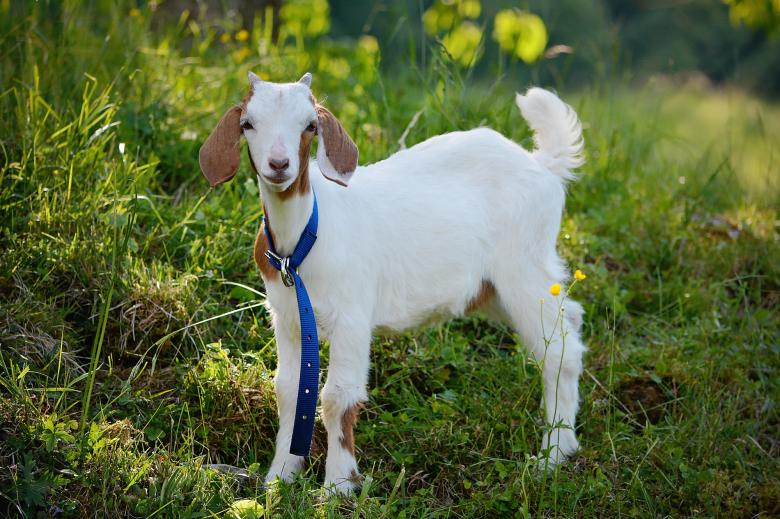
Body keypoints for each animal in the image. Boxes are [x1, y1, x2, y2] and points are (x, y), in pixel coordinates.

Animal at [199, 71, 587, 495]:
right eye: (247, 124)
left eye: (311, 126)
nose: (279, 164)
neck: (301, 239)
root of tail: (542, 166)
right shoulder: (288, 318)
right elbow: (288, 389)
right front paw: (279, 478)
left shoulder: (352, 317)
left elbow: (337, 396)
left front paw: (337, 487)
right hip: (495, 290)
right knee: (571, 317)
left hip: (522, 270)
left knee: (559, 352)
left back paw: (553, 455)